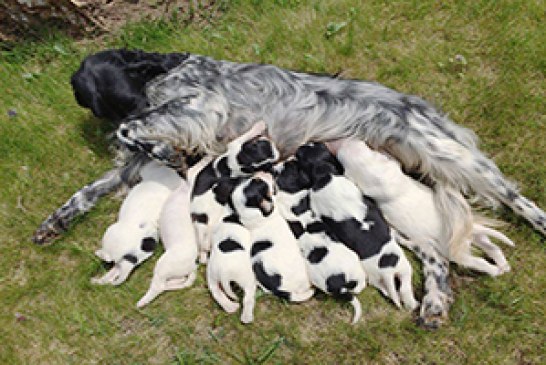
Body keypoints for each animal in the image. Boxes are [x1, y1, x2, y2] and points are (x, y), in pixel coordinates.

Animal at [294, 142, 416, 310]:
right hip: (400, 270)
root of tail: (389, 271)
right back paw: (410, 303)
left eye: (301, 154)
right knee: (401, 290)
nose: (301, 145)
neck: (326, 175)